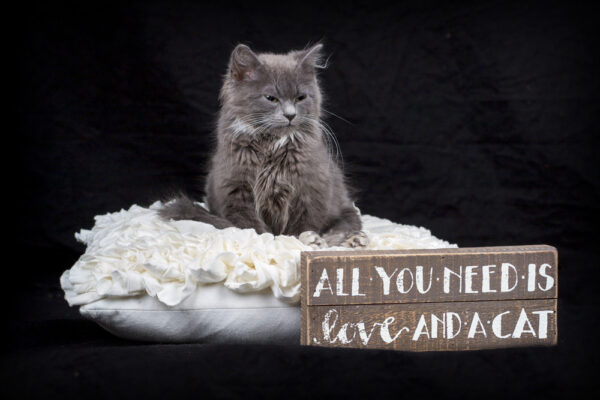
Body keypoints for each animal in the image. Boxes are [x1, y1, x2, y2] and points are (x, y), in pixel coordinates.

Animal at [159, 44, 366, 250]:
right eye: (271, 98)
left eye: (300, 97)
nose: (290, 115)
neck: (272, 144)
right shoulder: (235, 189)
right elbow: (252, 227)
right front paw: (265, 241)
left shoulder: (311, 188)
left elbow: (304, 223)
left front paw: (305, 239)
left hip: (343, 204)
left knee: (347, 224)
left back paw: (353, 240)